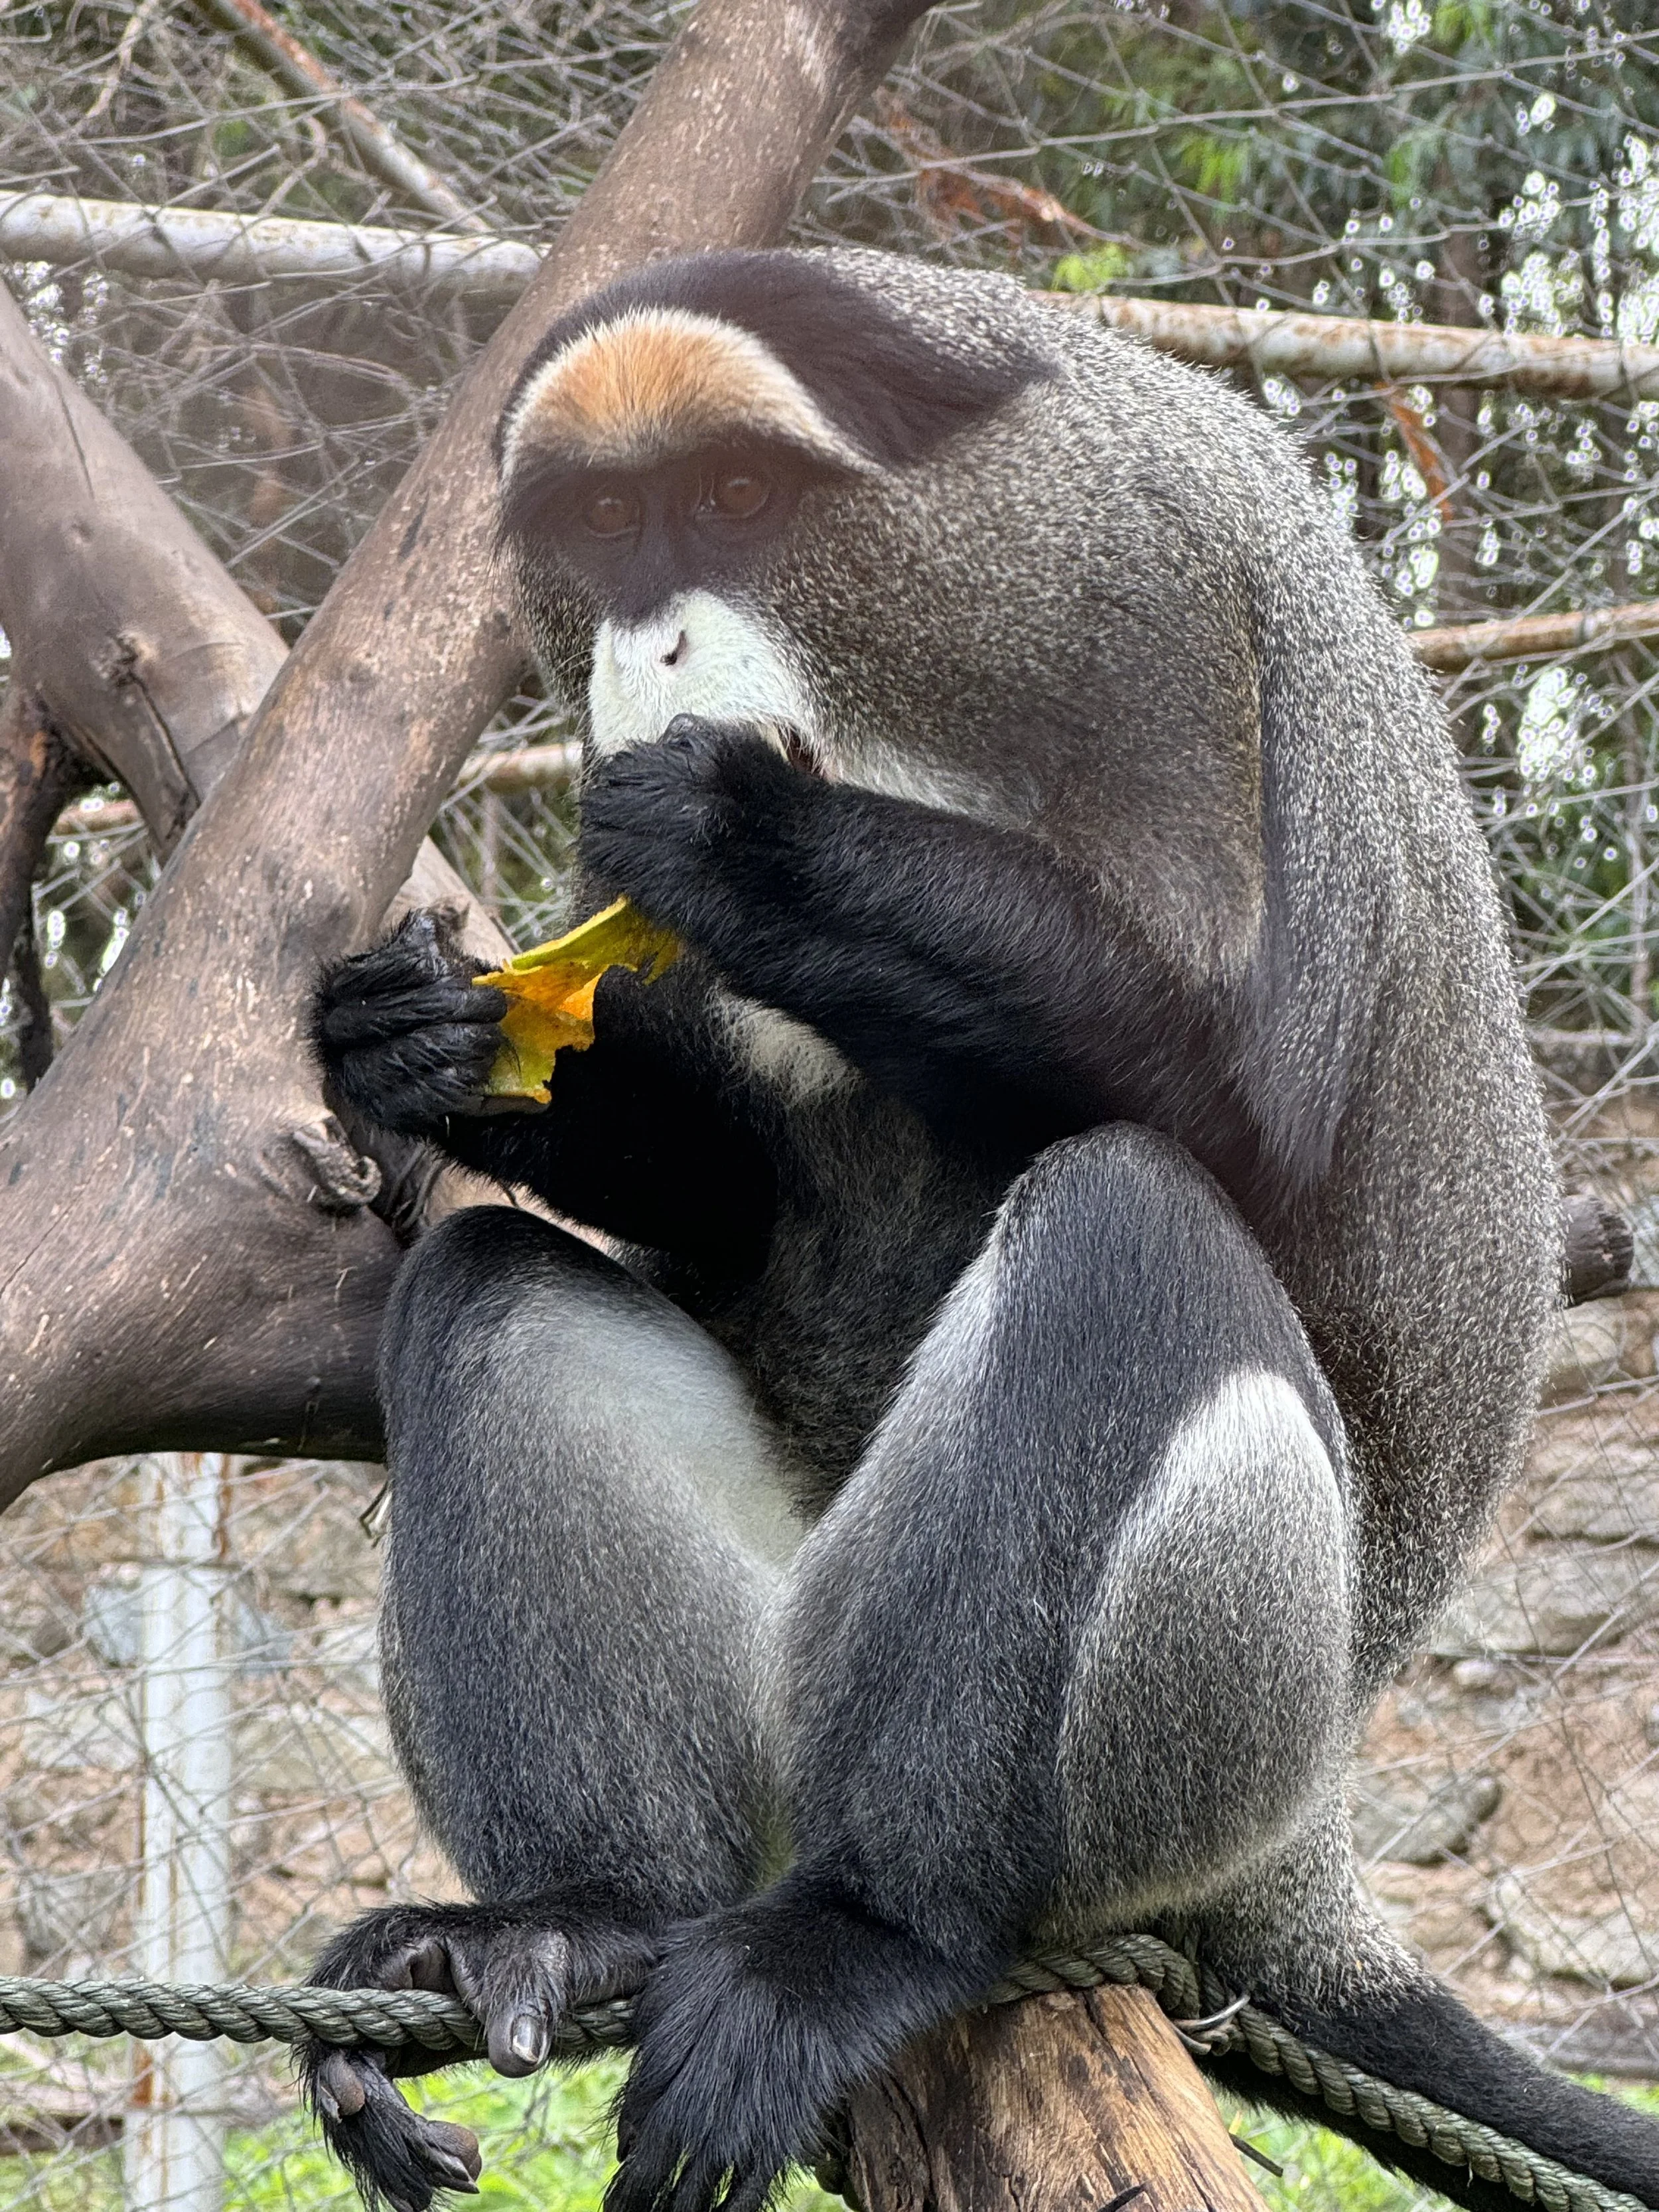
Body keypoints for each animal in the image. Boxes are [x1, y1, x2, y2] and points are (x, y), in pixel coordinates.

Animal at [304, 246, 1659, 2212]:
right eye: (609, 526)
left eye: (736, 499)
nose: (651, 646)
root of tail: (1307, 1847)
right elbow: (727, 1190)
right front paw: (418, 1040)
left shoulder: (1170, 614)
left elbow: (1240, 1112)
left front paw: (754, 846)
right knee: (483, 1294)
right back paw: (578, 1918)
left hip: (1225, 1730)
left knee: (1125, 1223)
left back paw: (867, 1934)